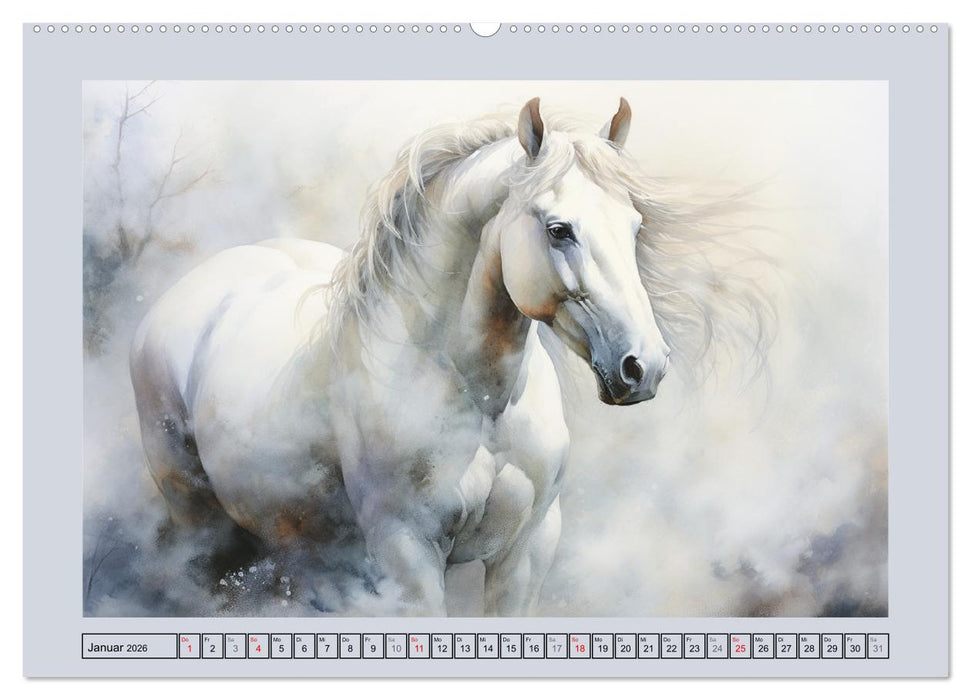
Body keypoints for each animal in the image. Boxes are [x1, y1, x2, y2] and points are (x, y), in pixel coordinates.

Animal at [130, 97, 773, 616]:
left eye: (635, 227)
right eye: (559, 229)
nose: (643, 366)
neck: (480, 398)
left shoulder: (527, 551)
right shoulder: (407, 557)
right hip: (204, 527)